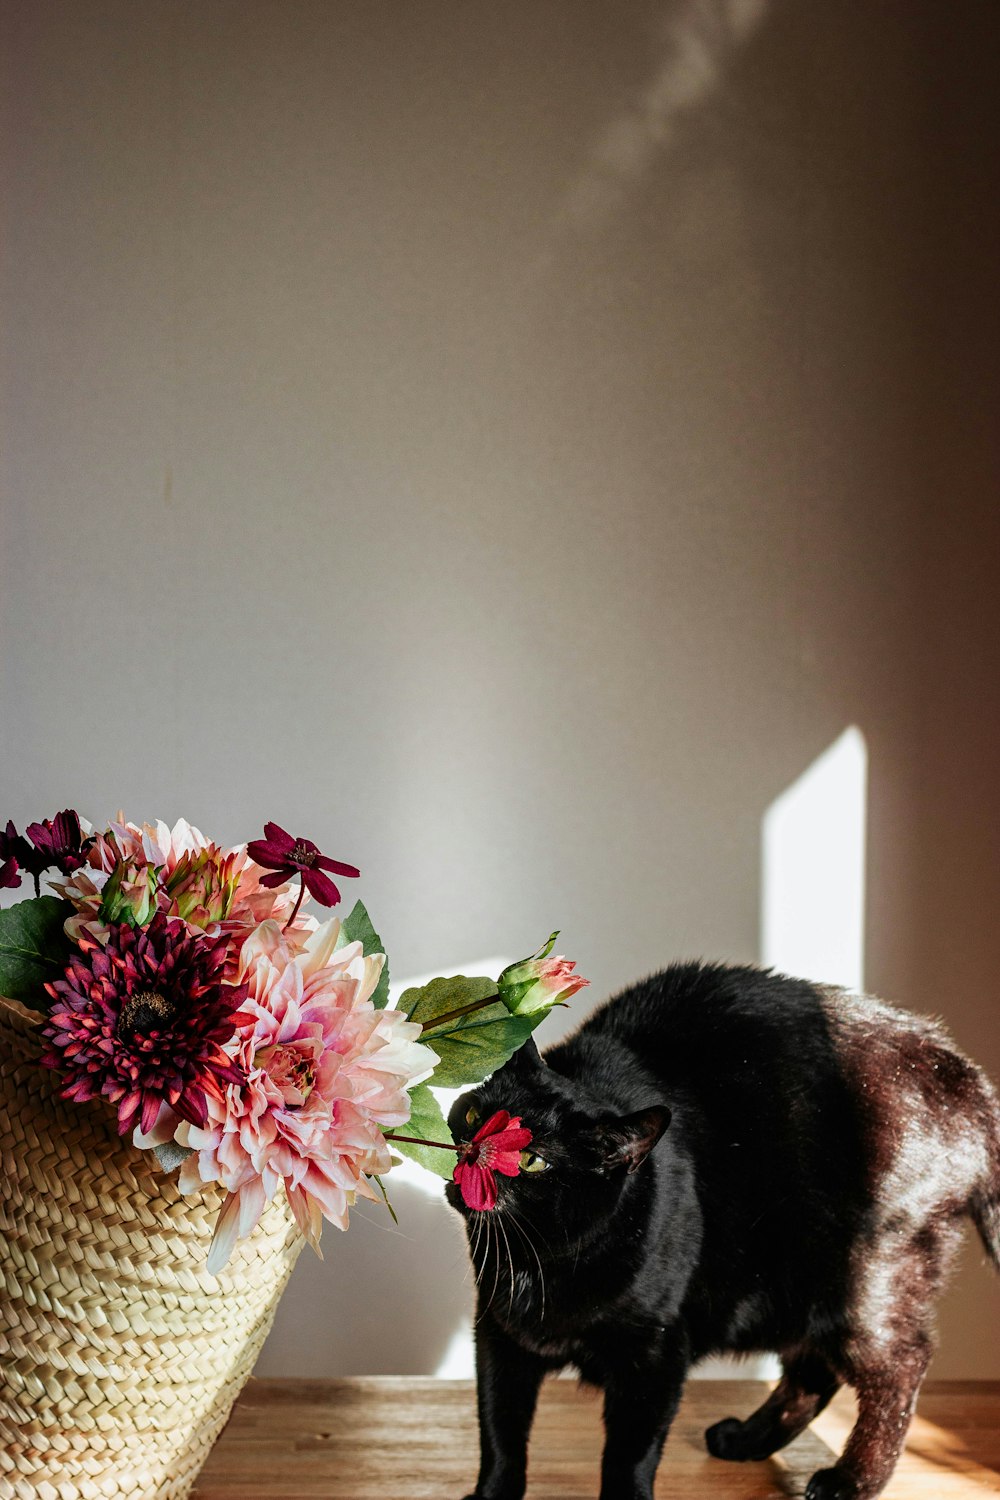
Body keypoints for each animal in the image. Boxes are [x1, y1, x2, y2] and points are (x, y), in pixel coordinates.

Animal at [446, 960, 1000, 1500]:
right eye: (473, 1114)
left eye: (533, 1160)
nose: (468, 1153)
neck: (545, 1259)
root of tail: (963, 1074)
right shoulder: (499, 1335)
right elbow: (500, 1433)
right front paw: (490, 1496)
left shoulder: (658, 1354)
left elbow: (629, 1453)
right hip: (797, 1293)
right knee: (812, 1370)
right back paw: (748, 1440)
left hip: (863, 1281)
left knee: (899, 1367)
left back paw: (849, 1481)